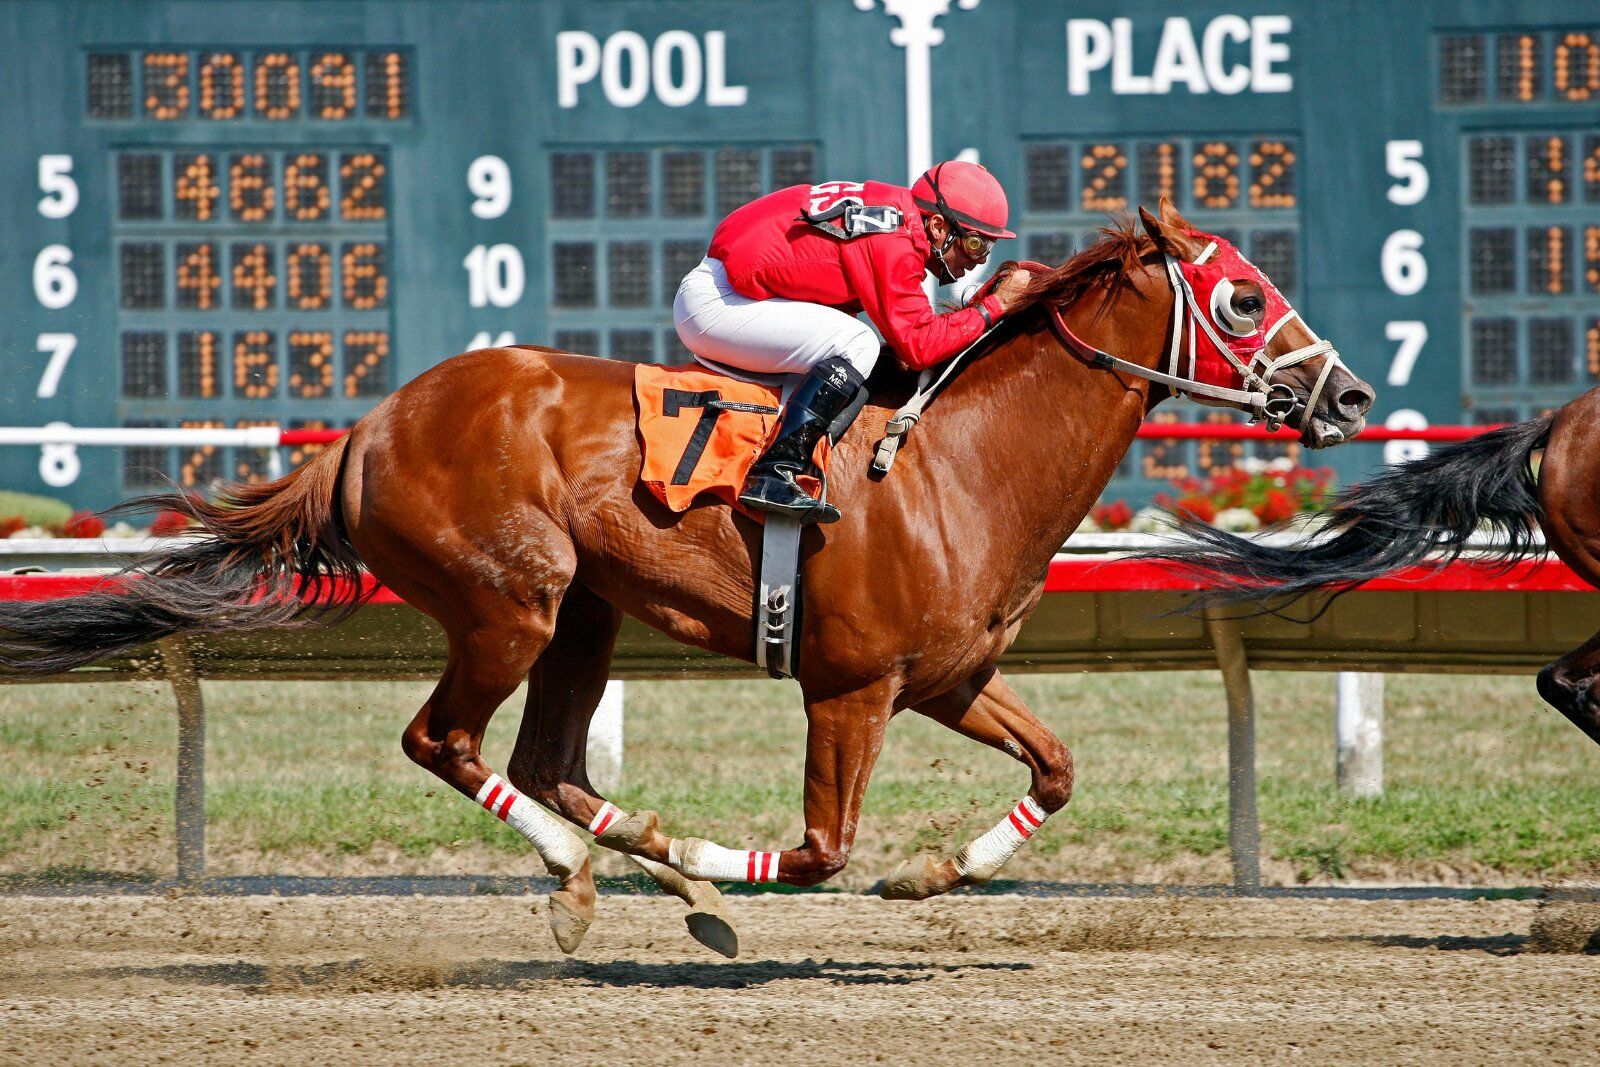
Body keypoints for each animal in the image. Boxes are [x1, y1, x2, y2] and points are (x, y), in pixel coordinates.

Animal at [0, 199, 1374, 955]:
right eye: (1242, 298)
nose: (1350, 394)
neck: (960, 467)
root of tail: (370, 428)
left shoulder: (947, 676)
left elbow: (1057, 768)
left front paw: (934, 872)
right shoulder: (849, 686)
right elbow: (818, 851)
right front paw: (735, 872)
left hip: (585, 613)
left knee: (546, 758)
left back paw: (633, 860)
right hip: (513, 599)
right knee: (447, 741)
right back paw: (585, 876)